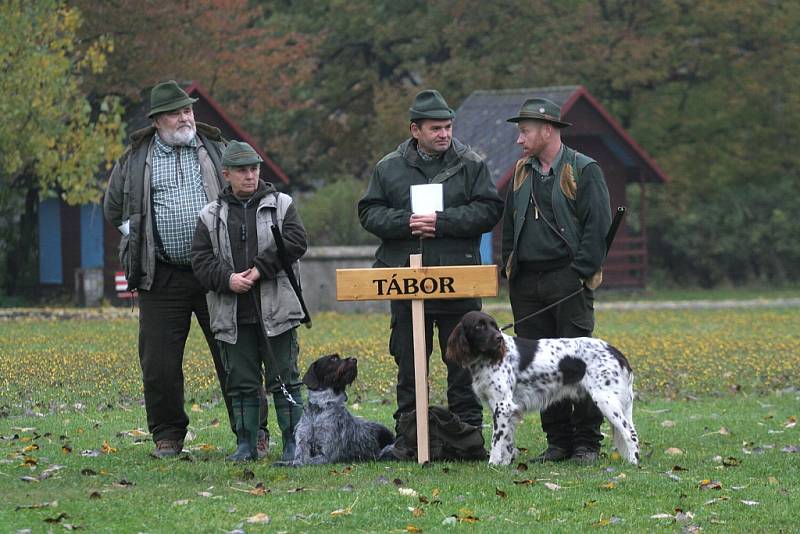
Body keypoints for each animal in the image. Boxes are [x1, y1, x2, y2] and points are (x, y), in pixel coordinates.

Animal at [444, 312, 636, 466]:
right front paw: (505, 464)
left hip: (605, 400)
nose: (499, 338)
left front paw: (493, 464)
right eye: (479, 326)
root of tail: (615, 351)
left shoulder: (502, 405)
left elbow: (497, 441)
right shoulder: (505, 408)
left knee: (630, 432)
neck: (487, 357)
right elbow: (508, 441)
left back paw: (633, 463)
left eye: (493, 325)